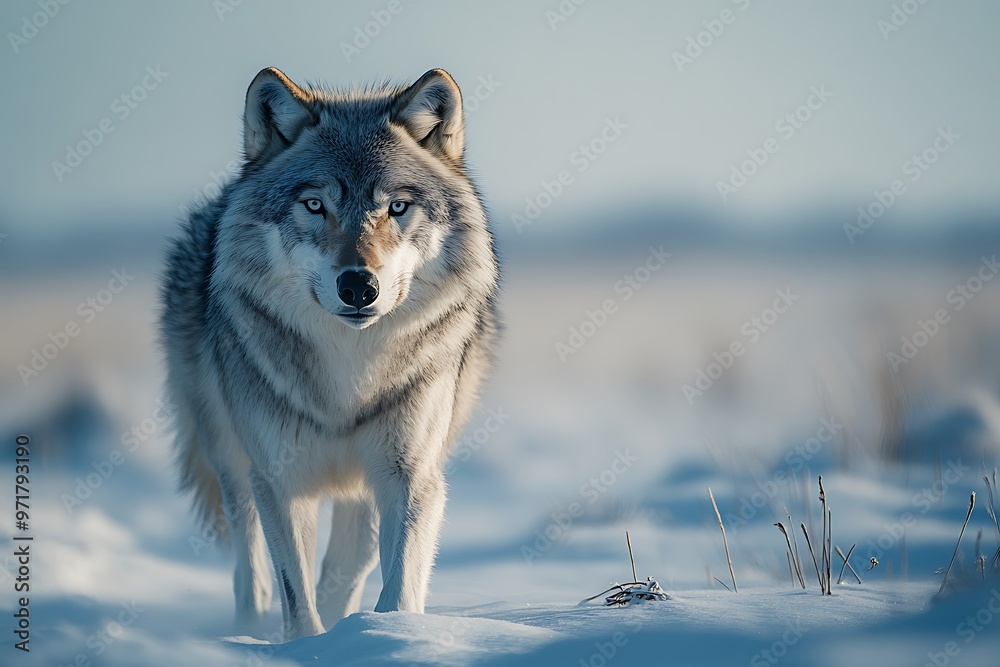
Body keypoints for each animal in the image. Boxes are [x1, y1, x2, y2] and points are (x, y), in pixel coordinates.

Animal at [159, 67, 499, 640]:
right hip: (232, 462)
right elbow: (295, 595)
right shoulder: (279, 478)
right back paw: (248, 627)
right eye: (316, 205)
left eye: (397, 207)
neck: (349, 377)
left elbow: (396, 585)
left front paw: (388, 637)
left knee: (346, 565)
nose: (358, 286)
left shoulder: (410, 475)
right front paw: (308, 645)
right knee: (250, 568)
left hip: (363, 489)